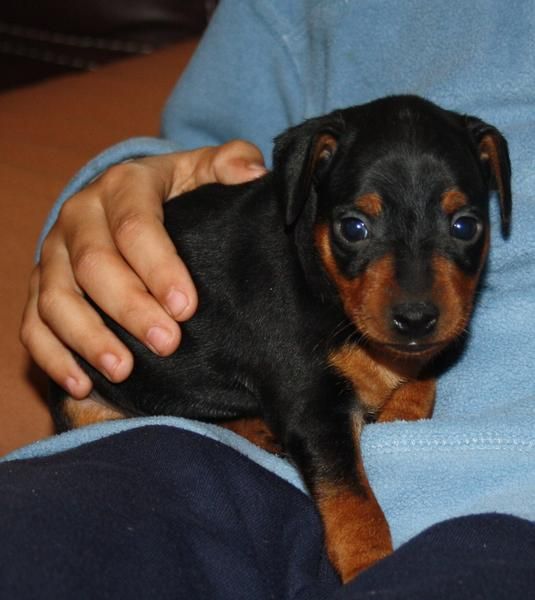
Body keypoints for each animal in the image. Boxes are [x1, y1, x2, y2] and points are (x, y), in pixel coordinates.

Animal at [50, 96, 510, 584]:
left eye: (465, 227)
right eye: (354, 228)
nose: (416, 318)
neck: (320, 277)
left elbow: (421, 375)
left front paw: (400, 408)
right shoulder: (313, 409)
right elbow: (353, 501)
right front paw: (369, 566)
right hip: (84, 398)